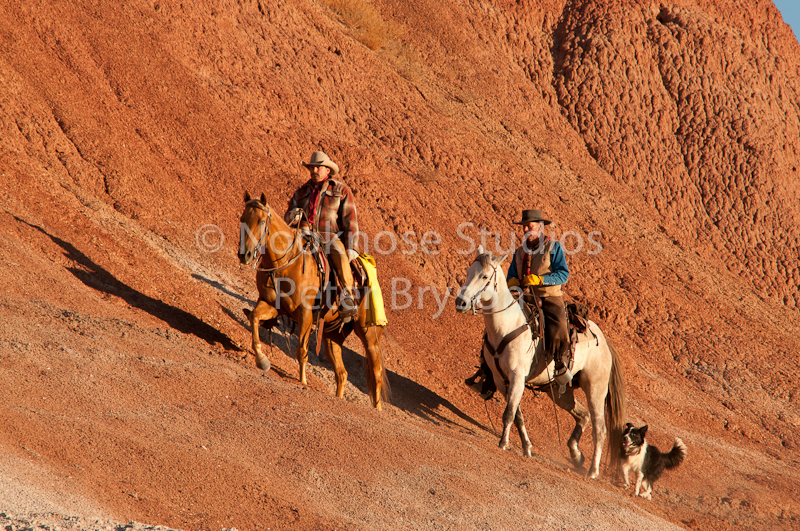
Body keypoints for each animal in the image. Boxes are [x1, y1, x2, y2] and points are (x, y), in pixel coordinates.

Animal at [238, 193, 388, 410]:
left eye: (261, 221)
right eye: (242, 219)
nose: (245, 254)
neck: (286, 264)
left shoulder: (305, 314)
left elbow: (302, 350)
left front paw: (302, 381)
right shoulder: (272, 306)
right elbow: (255, 318)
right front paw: (262, 359)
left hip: (370, 335)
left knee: (376, 374)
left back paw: (377, 409)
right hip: (332, 336)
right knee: (342, 374)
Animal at [456, 247, 624, 480]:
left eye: (484, 276)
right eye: (468, 271)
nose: (461, 302)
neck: (508, 326)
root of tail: (605, 343)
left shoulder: (517, 378)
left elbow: (509, 413)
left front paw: (504, 443)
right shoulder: (501, 380)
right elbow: (517, 415)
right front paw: (526, 447)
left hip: (595, 390)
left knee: (599, 429)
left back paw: (592, 471)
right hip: (559, 392)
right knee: (582, 415)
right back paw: (575, 455)